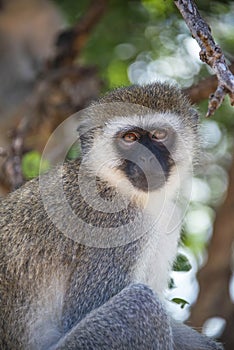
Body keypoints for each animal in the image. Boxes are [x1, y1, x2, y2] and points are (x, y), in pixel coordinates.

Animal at [0, 83, 223, 348]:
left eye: (158, 134)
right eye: (130, 138)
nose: (147, 158)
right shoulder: (117, 224)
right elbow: (84, 310)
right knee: (143, 304)